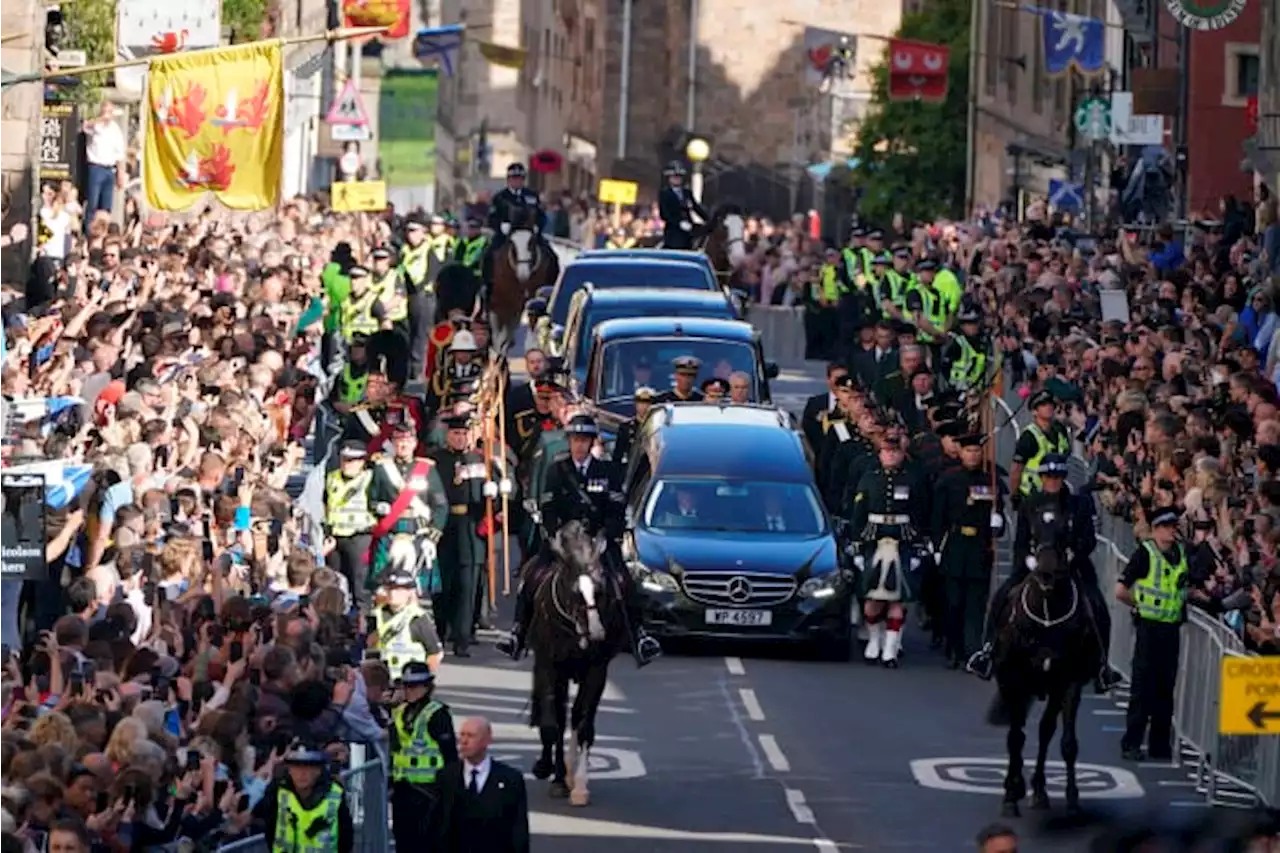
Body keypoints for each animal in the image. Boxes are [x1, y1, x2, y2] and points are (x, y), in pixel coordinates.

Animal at [483, 207, 555, 353]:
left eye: (531, 241)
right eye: (512, 242)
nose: (523, 273)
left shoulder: (529, 300)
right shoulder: (498, 302)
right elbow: (498, 331)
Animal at [524, 517, 624, 804]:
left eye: (599, 591)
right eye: (573, 592)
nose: (597, 633)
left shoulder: (597, 671)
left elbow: (583, 724)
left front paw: (579, 784)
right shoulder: (548, 667)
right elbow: (553, 724)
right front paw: (555, 776)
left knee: (576, 715)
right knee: (556, 714)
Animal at [988, 545, 1100, 819]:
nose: (1047, 572)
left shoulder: (1068, 684)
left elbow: (1066, 742)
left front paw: (1071, 797)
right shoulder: (1012, 680)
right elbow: (1015, 738)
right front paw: (1011, 793)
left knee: (1045, 730)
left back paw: (1039, 790)